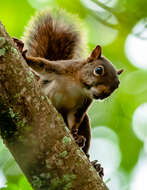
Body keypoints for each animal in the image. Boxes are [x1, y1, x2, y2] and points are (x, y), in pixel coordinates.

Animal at [12, 8, 123, 178]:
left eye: (117, 85)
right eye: (99, 70)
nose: (103, 95)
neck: (78, 85)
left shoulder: (84, 103)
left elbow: (75, 119)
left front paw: (75, 135)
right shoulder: (60, 68)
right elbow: (41, 64)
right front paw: (22, 52)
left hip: (85, 123)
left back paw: (93, 163)